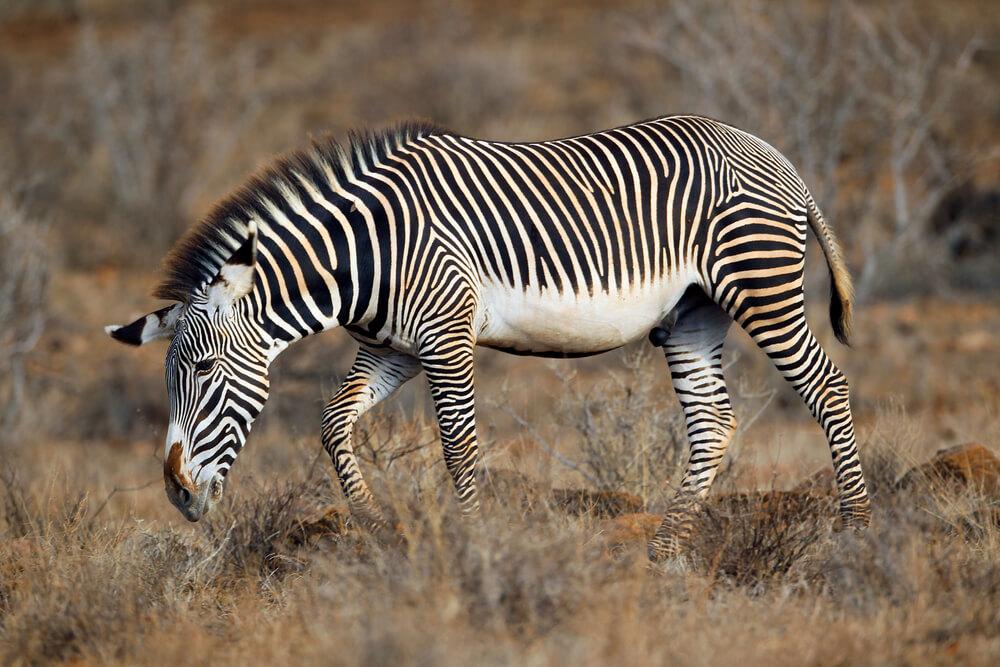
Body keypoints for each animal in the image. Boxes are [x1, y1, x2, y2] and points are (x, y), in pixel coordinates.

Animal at [106, 115, 871, 560]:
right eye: (171, 379)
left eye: (206, 372)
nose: (178, 496)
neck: (364, 253)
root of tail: (773, 154)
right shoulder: (394, 348)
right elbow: (332, 422)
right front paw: (376, 526)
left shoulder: (445, 335)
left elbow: (459, 448)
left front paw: (475, 544)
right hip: (693, 312)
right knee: (713, 422)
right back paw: (664, 550)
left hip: (760, 287)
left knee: (828, 387)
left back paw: (856, 529)